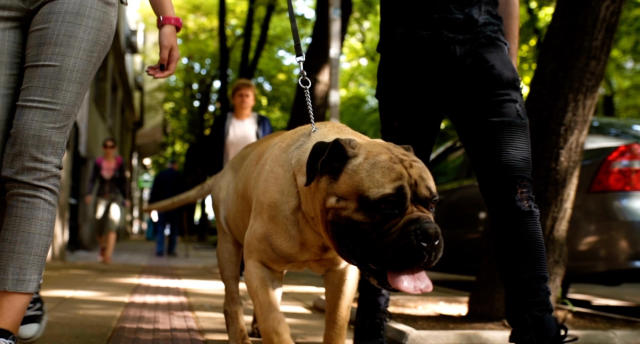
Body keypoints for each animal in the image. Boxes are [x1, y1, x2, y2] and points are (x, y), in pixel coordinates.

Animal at [147, 122, 442, 342]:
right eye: (387, 205)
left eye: (433, 203)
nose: (430, 235)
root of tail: (222, 173)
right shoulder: (259, 266)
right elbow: (275, 324)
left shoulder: (342, 274)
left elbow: (335, 324)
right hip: (229, 249)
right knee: (232, 299)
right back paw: (239, 334)